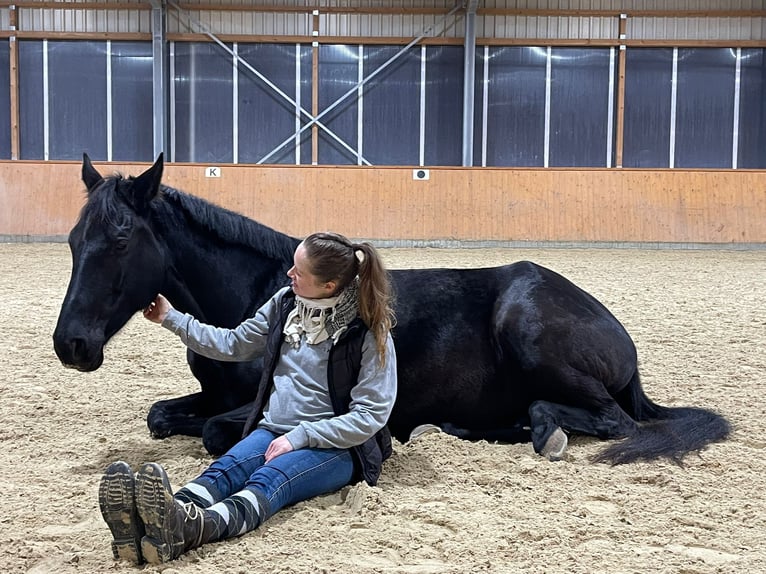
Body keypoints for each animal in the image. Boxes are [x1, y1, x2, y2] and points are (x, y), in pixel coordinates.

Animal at [53, 154, 730, 464]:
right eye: (73, 240)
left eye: (120, 239)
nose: (71, 345)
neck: (254, 293)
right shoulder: (214, 393)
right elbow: (160, 417)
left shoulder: (255, 406)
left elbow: (220, 431)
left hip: (531, 335)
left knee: (612, 420)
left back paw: (541, 430)